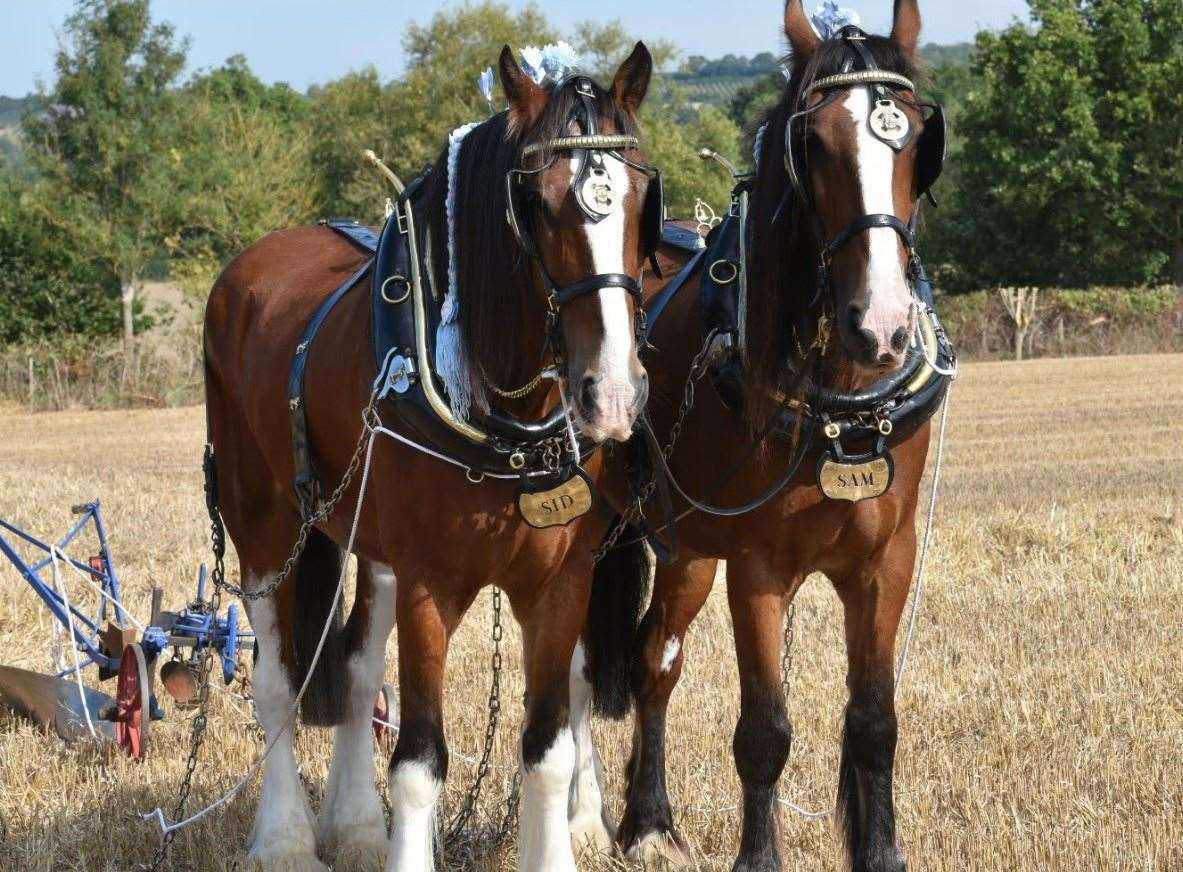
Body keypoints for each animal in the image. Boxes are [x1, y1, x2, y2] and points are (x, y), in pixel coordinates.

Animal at [207, 45, 662, 870]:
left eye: (642, 197)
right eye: (536, 200)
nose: (612, 391)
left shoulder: (559, 586)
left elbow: (546, 748)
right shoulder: (428, 587)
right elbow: (420, 761)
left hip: (365, 537)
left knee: (356, 671)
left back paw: (356, 827)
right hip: (263, 524)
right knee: (278, 682)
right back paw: (284, 837)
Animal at [572, 3, 951, 866]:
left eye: (916, 138)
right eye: (812, 145)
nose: (881, 326)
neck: (841, 407)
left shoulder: (887, 561)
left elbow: (873, 723)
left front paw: (881, 852)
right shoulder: (757, 570)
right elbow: (764, 733)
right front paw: (757, 855)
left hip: (682, 547)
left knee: (653, 660)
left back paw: (648, 823)